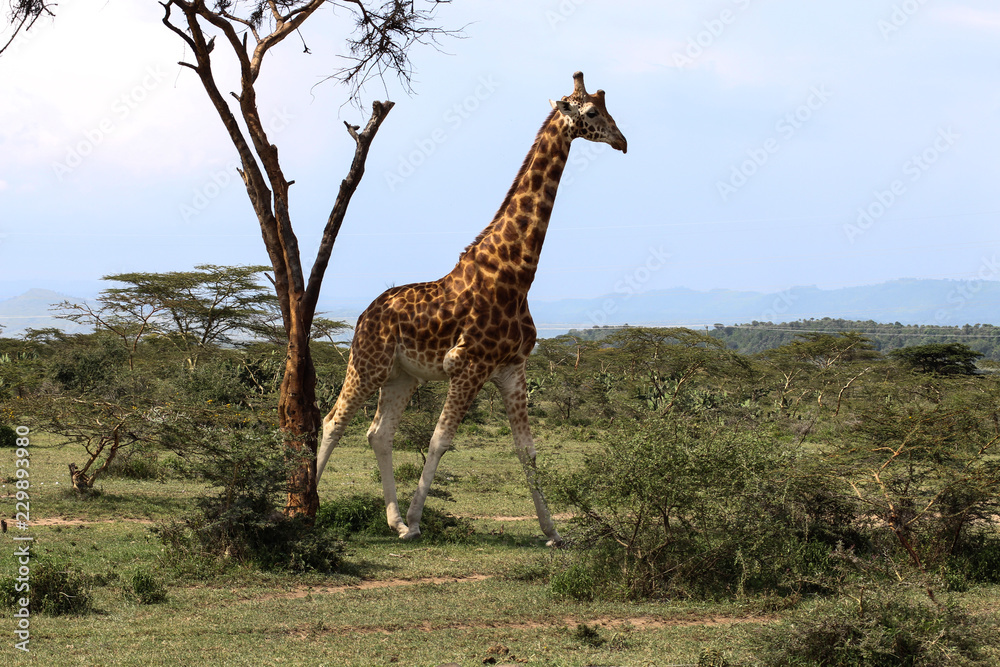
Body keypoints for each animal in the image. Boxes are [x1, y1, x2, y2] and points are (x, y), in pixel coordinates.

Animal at [316, 71, 627, 545]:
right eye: (592, 112)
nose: (622, 141)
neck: (516, 274)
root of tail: (365, 314)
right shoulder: (468, 365)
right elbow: (440, 441)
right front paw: (418, 523)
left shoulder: (512, 367)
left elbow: (526, 449)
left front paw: (553, 533)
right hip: (367, 363)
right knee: (333, 421)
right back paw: (306, 506)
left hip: (402, 375)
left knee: (379, 433)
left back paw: (393, 520)